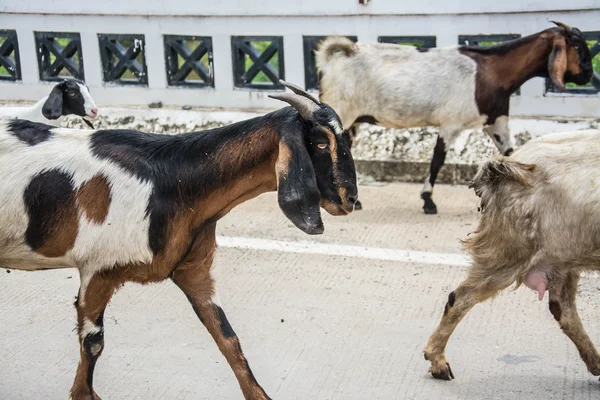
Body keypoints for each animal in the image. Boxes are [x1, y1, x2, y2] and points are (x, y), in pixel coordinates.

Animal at [0, 79, 356, 398]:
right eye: (320, 143)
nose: (350, 199)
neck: (171, 179)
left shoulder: (193, 272)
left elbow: (228, 339)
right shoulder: (97, 270)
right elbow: (93, 343)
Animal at [316, 21, 592, 214]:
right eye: (577, 45)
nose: (589, 74)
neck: (492, 71)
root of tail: (339, 57)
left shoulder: (495, 121)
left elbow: (512, 154)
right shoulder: (451, 123)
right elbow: (437, 160)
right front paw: (428, 201)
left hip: (353, 119)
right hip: (342, 110)